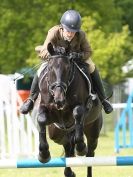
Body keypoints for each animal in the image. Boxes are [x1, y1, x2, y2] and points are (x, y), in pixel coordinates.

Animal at [37, 43, 103, 177]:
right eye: (50, 68)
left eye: (67, 69)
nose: (59, 99)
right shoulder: (47, 110)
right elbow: (41, 119)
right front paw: (43, 155)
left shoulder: (80, 108)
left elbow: (77, 114)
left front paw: (81, 147)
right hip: (57, 133)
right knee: (67, 145)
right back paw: (69, 172)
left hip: (93, 130)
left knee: (90, 154)